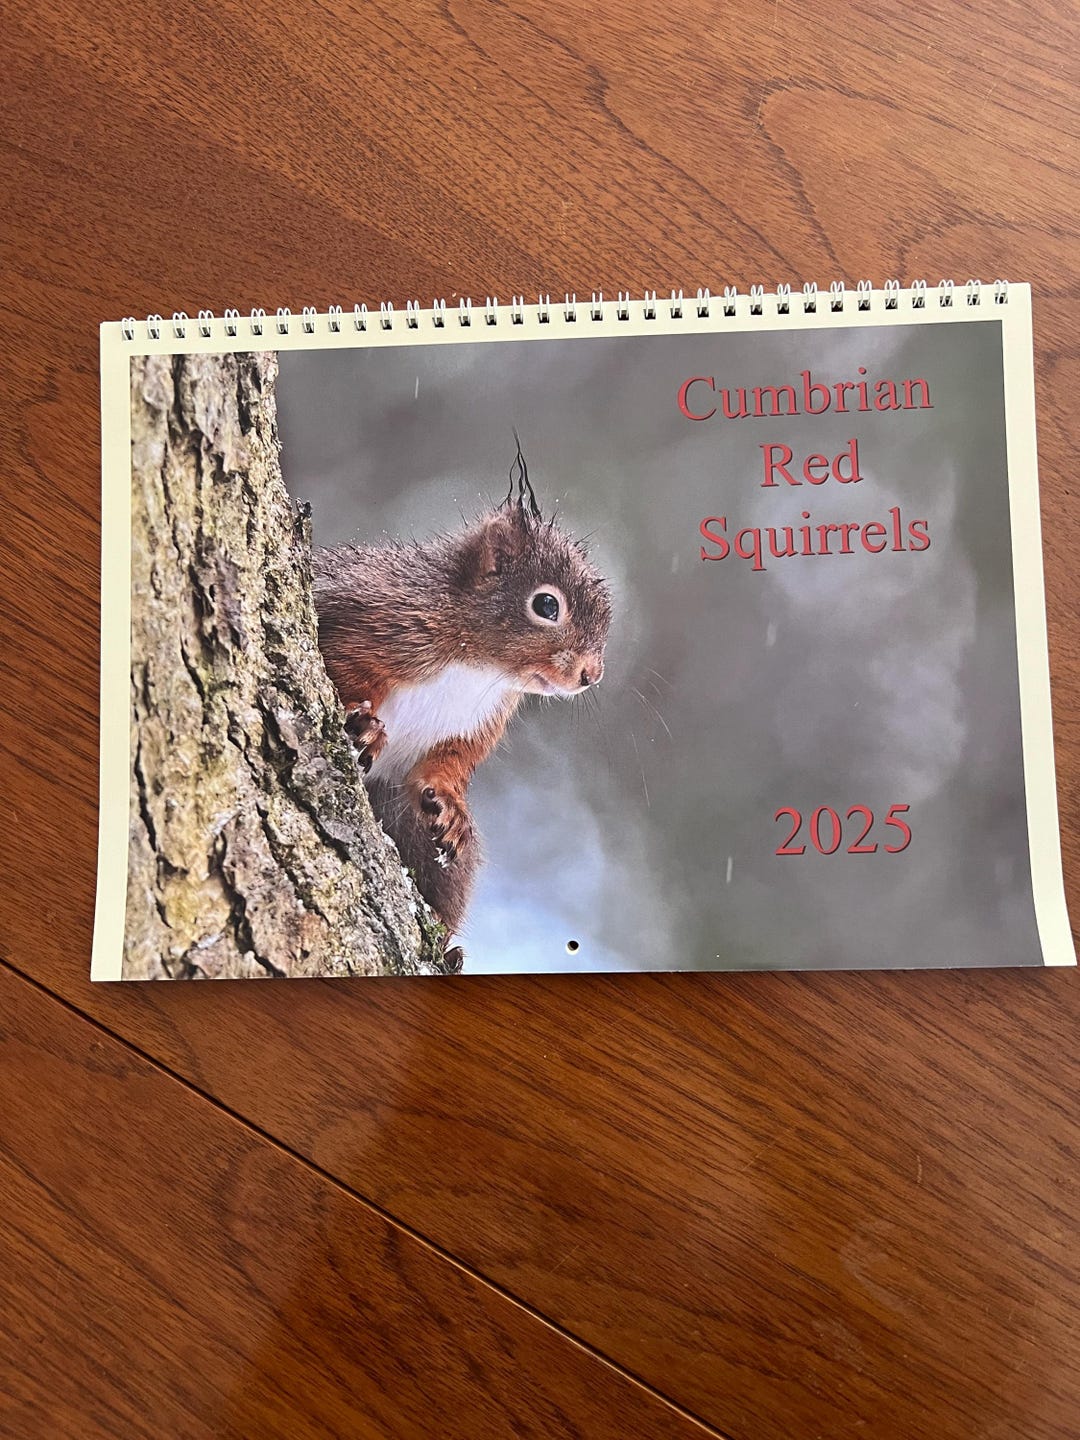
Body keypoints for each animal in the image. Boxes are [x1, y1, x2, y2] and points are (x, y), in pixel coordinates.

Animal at [311, 443, 612, 956]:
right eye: (547, 605)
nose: (591, 675)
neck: (477, 667)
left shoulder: (474, 723)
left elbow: (448, 762)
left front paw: (449, 805)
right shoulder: (365, 621)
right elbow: (343, 671)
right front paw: (362, 723)